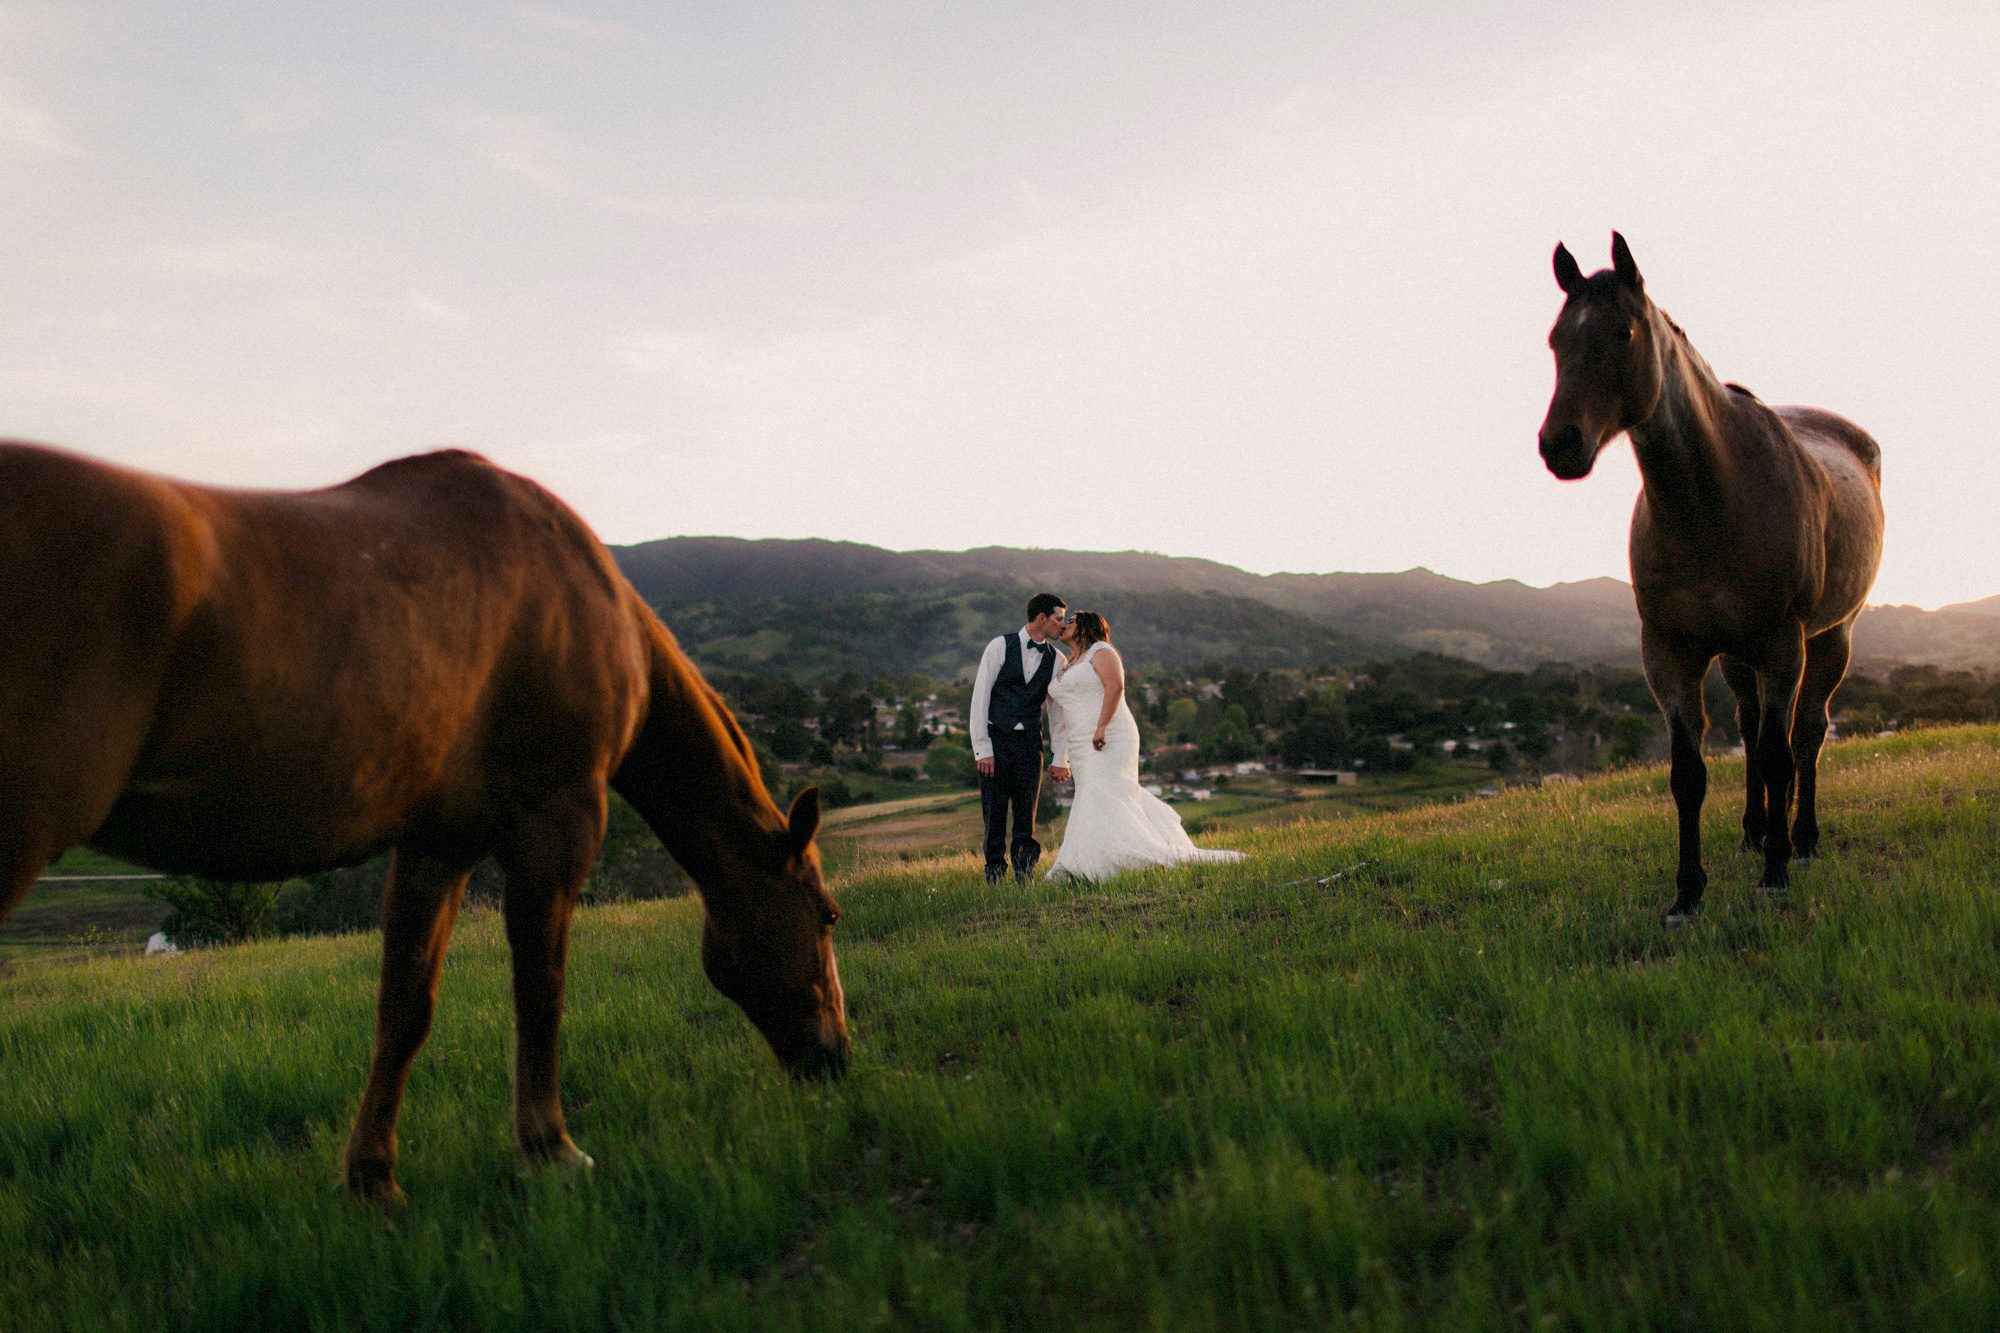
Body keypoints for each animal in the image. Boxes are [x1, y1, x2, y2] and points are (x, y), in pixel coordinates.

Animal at [0, 438, 848, 1200]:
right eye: (829, 913)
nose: (836, 1057)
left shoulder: (439, 844)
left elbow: (405, 1008)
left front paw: (373, 1177)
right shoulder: (557, 820)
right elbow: (541, 986)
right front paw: (551, 1147)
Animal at [1536, 236, 1880, 924]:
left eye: (1623, 331)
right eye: (1556, 339)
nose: (1560, 444)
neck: (1714, 501)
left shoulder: (1782, 645)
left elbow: (1779, 755)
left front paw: (1775, 874)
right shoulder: (1671, 652)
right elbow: (1689, 772)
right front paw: (1688, 892)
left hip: (1828, 639)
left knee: (1806, 734)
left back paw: (1799, 840)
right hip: (1738, 657)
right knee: (1751, 729)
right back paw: (1755, 833)